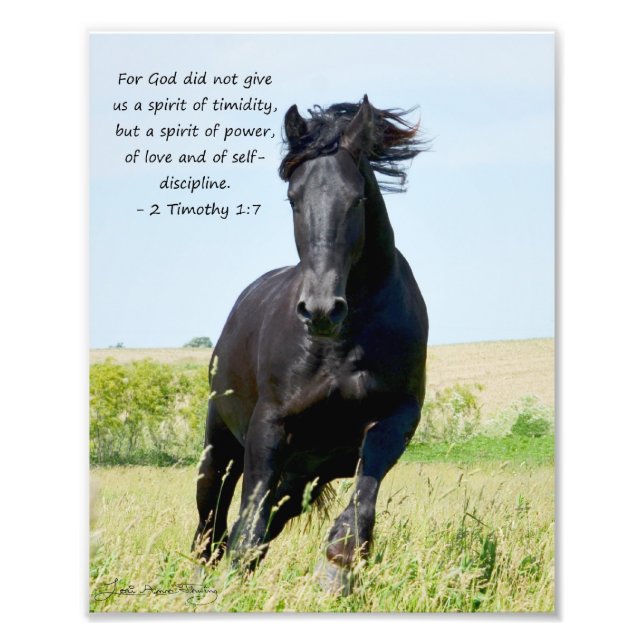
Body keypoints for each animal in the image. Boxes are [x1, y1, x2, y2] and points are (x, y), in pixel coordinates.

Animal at [193, 95, 428, 591]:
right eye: (293, 199)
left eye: (357, 198)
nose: (321, 310)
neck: (345, 344)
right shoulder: (270, 425)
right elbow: (248, 522)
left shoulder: (395, 417)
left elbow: (362, 500)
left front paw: (337, 567)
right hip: (219, 447)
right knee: (211, 521)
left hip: (299, 475)